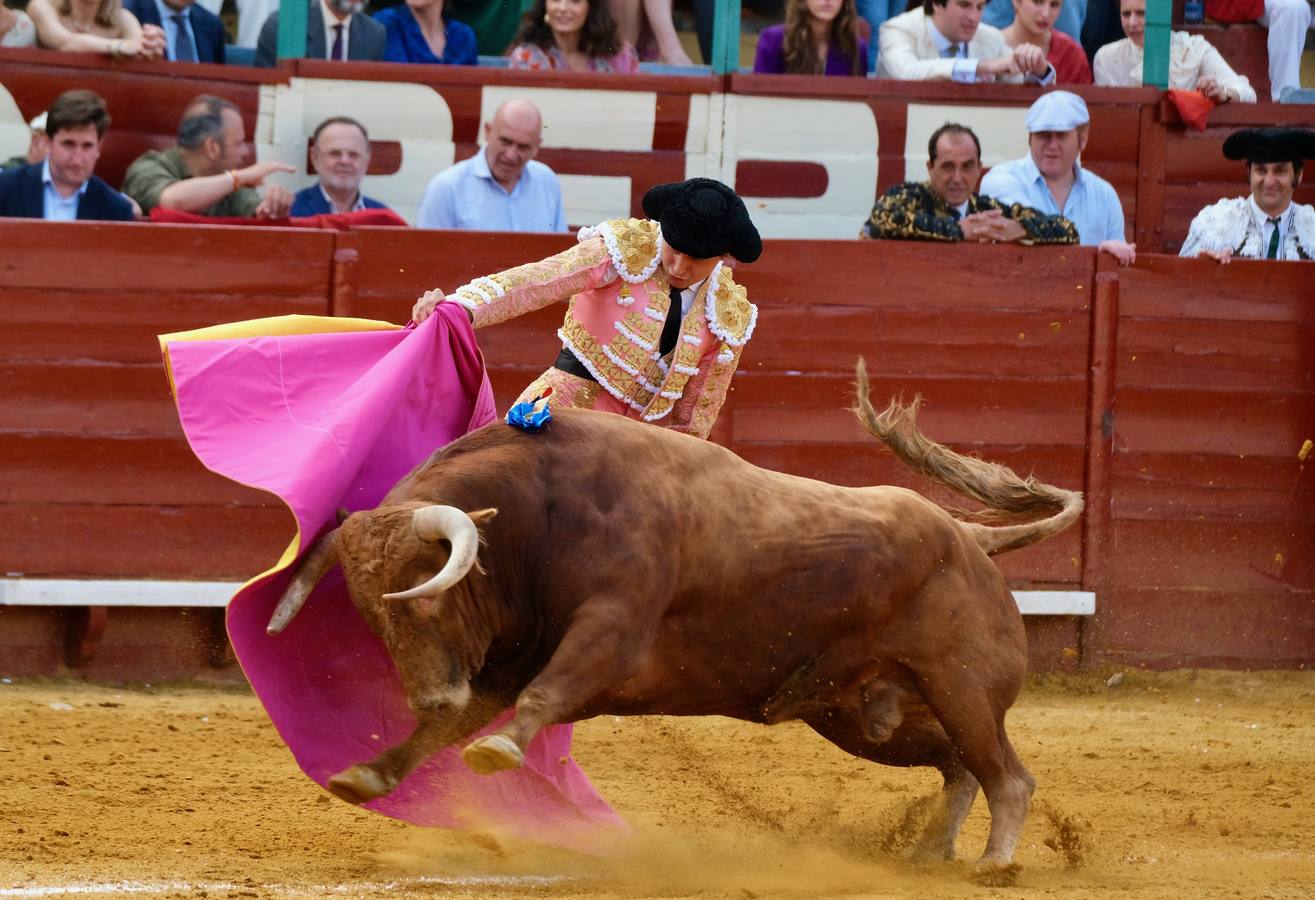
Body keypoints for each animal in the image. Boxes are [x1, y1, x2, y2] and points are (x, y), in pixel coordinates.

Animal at [264, 363, 1078, 873]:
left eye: (430, 592)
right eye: (371, 616)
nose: (430, 692)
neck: (541, 511)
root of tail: (969, 538)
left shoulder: (610, 631)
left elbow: (542, 695)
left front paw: (497, 753)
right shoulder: (499, 669)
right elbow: (445, 732)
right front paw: (367, 774)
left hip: (959, 686)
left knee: (1007, 774)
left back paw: (994, 863)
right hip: (859, 715)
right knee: (957, 765)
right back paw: (928, 853)